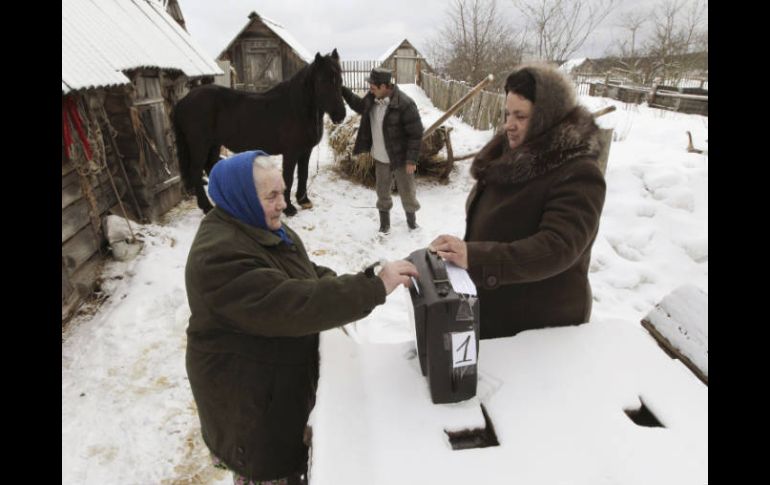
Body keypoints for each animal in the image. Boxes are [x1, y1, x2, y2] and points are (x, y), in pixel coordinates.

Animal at [174, 49, 344, 214]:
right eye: (323, 81)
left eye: (340, 80)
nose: (340, 115)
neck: (297, 109)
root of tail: (183, 101)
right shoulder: (290, 153)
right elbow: (288, 178)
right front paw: (288, 208)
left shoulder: (305, 151)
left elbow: (303, 175)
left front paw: (304, 201)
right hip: (200, 145)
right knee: (197, 171)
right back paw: (206, 206)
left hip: (214, 144)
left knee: (210, 166)